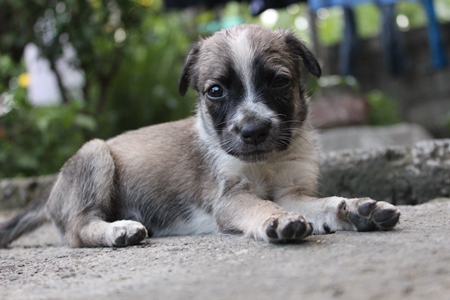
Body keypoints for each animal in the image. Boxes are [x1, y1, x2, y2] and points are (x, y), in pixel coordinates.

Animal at [0, 24, 400, 247]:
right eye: (215, 91)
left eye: (279, 82)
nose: (253, 131)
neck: (266, 162)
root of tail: (51, 191)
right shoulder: (231, 197)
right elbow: (262, 206)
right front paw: (275, 221)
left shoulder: (293, 191)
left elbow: (324, 204)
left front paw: (358, 210)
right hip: (95, 154)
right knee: (77, 230)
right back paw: (119, 231)